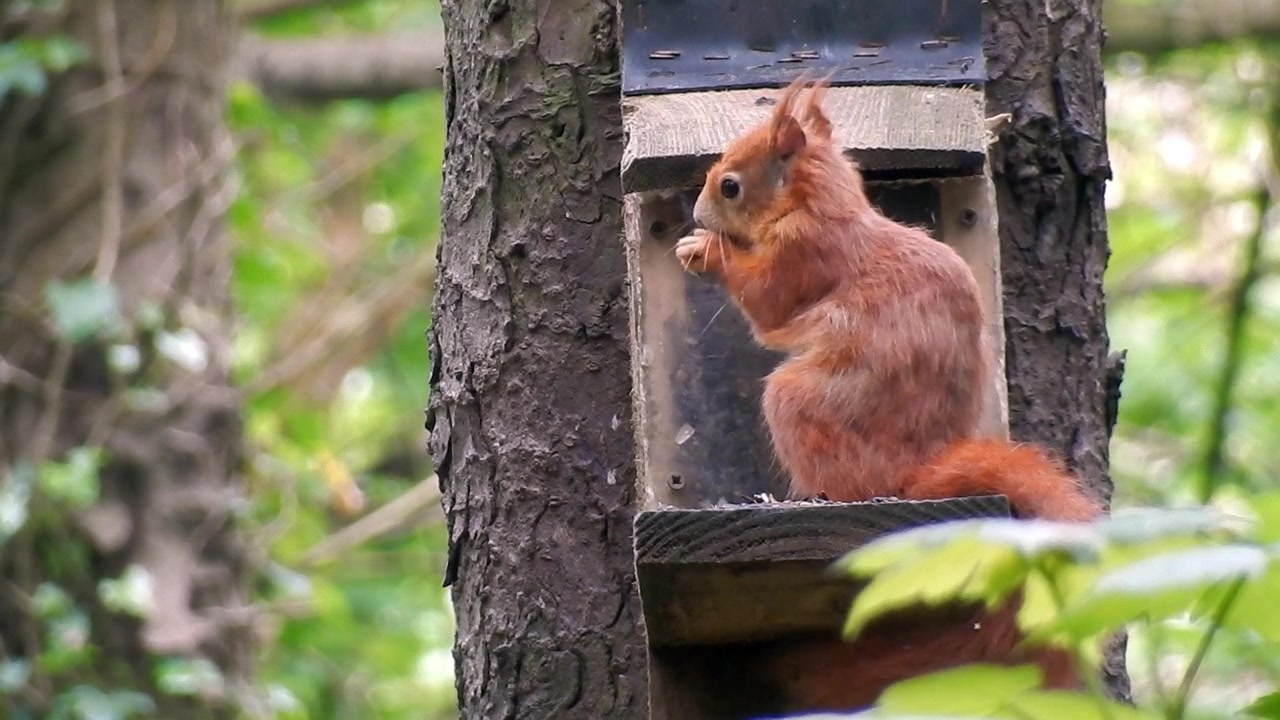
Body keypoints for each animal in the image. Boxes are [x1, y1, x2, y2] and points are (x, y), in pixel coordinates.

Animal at [671, 76, 1103, 712]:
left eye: (730, 185)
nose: (696, 211)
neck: (818, 204)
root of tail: (915, 476)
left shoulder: (806, 255)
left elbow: (768, 302)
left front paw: (702, 250)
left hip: (803, 405)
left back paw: (814, 498)